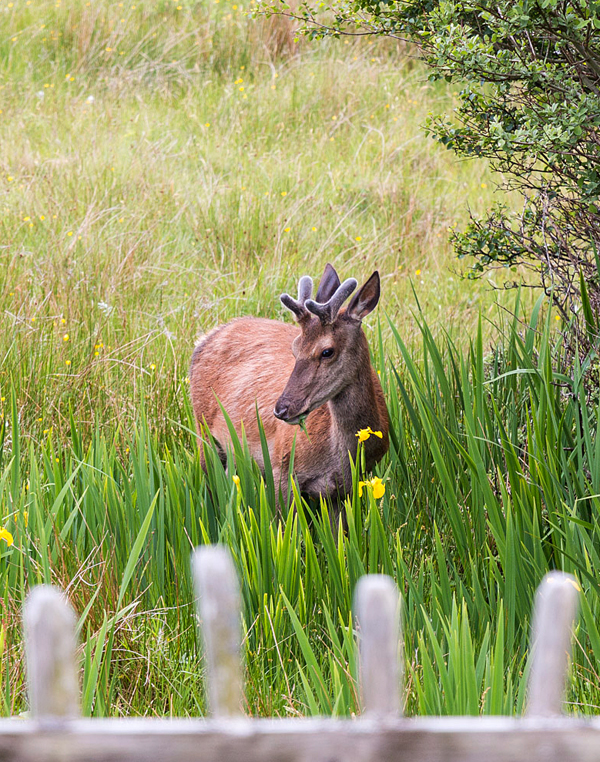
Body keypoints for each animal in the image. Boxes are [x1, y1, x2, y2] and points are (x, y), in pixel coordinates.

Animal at [189, 263, 389, 505]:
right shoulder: (281, 468)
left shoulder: (347, 489)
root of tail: (206, 337)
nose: (282, 409)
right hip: (202, 431)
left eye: (327, 351)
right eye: (295, 348)